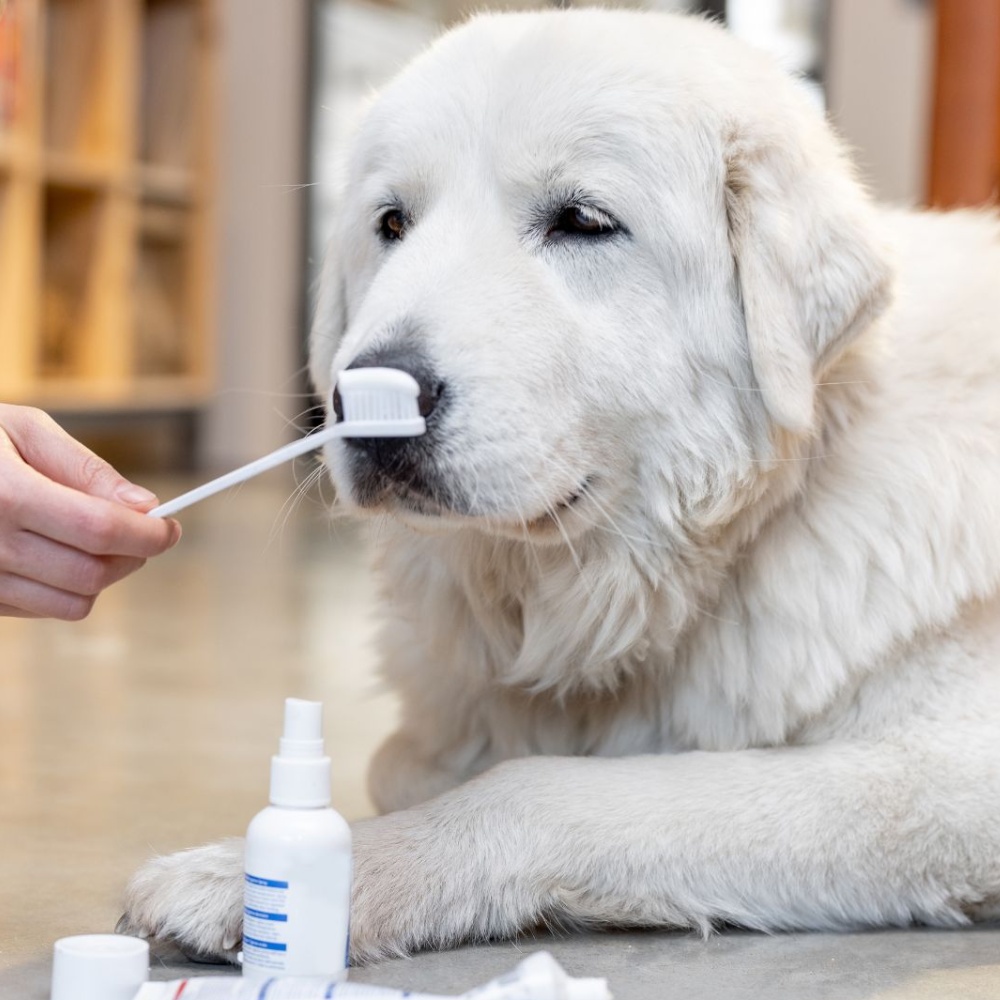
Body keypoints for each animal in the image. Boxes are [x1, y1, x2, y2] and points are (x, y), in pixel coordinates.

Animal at [119, 7, 1000, 960]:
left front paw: (265, 878)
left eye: (582, 220)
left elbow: (534, 785)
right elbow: (403, 761)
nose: (364, 398)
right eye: (392, 223)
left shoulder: (946, 774)